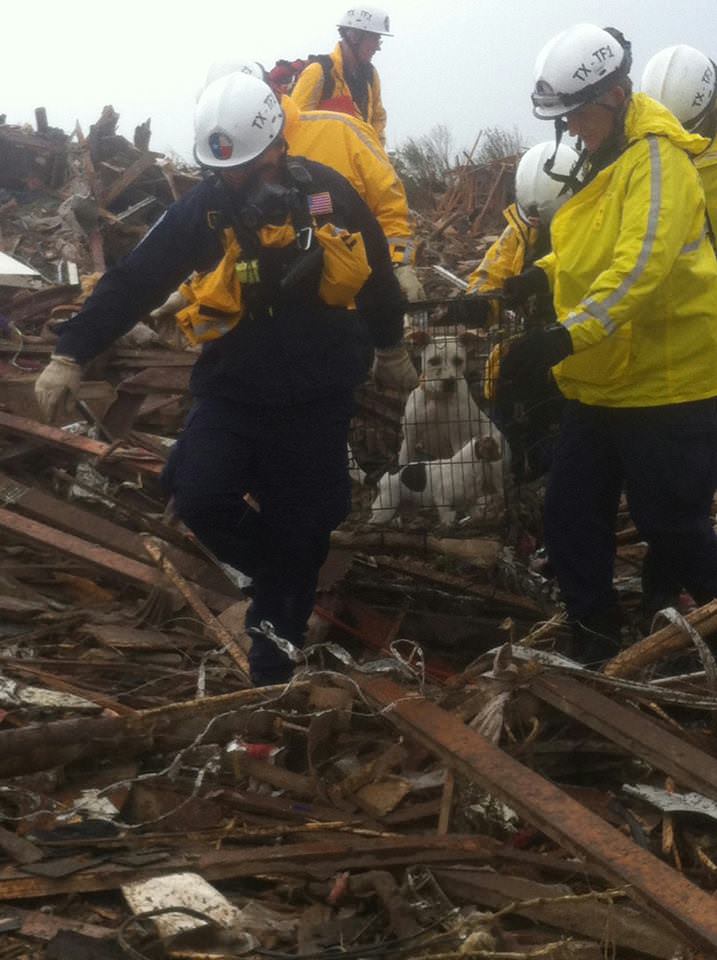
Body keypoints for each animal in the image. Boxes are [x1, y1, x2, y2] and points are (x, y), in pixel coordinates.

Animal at [370, 434, 504, 528]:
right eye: (495, 447)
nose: (501, 455)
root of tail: (388, 472)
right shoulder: (443, 500)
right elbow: (446, 517)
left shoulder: (470, 500)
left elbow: (476, 514)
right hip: (388, 502)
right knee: (376, 518)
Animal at [400, 330, 484, 464]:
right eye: (433, 361)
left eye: (458, 361)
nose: (449, 382)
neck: (438, 397)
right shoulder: (409, 441)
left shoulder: (459, 440)